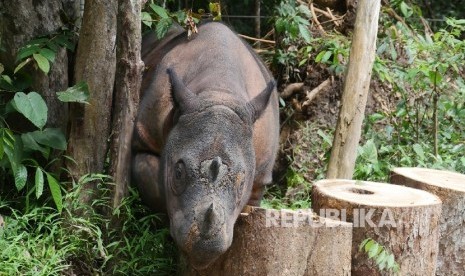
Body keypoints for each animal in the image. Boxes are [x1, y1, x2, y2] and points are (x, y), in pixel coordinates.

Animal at [130, 22, 278, 270]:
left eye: (242, 183)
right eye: (178, 172)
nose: (205, 248)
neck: (218, 92)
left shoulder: (260, 177)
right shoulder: (143, 137)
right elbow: (149, 178)